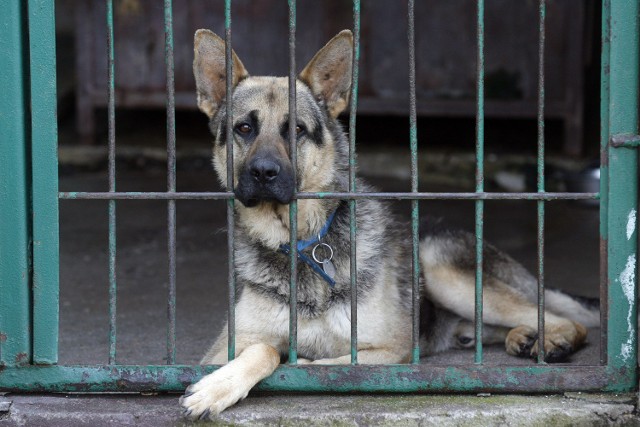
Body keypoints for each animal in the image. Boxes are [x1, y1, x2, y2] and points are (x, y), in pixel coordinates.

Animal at [180, 30, 600, 422]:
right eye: (244, 128)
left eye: (296, 129)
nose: (263, 172)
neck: (303, 245)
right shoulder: (220, 351)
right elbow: (264, 347)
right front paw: (218, 387)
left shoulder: (387, 350)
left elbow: (292, 356)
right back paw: (521, 337)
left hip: (443, 269)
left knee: (563, 319)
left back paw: (552, 340)